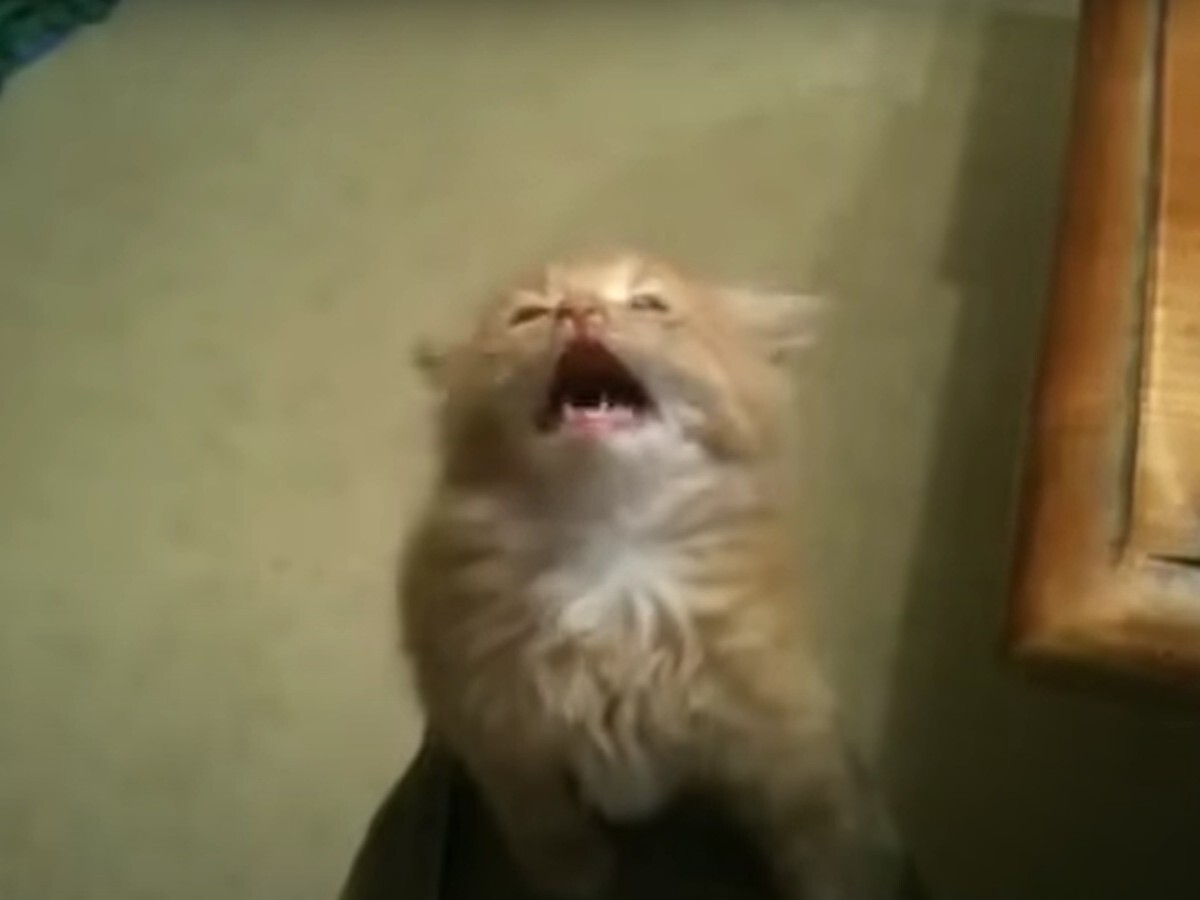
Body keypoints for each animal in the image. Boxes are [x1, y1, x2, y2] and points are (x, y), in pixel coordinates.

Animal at [399, 249, 885, 900]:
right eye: (529, 315)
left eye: (648, 304)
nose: (579, 310)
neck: (610, 560)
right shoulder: (493, 730)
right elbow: (544, 825)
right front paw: (579, 869)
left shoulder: (789, 742)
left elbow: (826, 853)